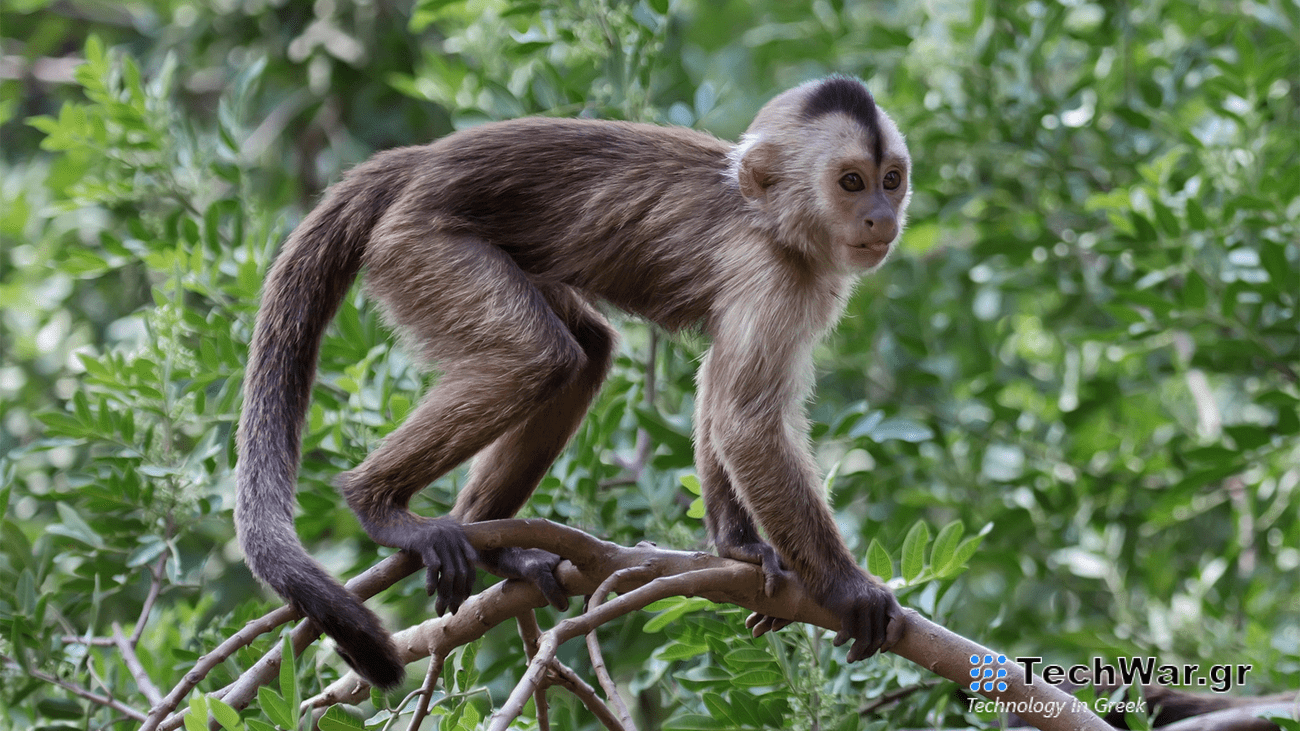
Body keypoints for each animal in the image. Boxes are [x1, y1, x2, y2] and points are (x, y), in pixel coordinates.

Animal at [235, 75, 911, 690]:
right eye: (851, 182)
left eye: (890, 179)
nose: (881, 217)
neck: (770, 220)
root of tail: (420, 161)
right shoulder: (773, 272)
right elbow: (747, 421)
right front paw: (848, 589)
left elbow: (721, 394)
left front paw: (736, 549)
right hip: (418, 246)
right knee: (537, 356)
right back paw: (376, 503)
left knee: (585, 353)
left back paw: (493, 541)